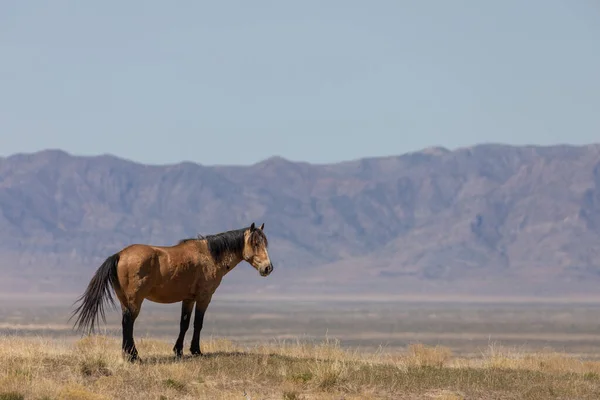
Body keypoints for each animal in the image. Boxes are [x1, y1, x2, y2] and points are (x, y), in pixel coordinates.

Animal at [70, 223, 274, 360]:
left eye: (265, 243)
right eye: (255, 243)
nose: (268, 268)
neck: (209, 256)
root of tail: (120, 255)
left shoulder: (188, 299)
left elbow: (184, 324)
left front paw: (179, 351)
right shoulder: (204, 298)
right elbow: (198, 324)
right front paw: (196, 350)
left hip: (124, 300)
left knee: (125, 323)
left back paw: (129, 354)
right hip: (135, 300)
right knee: (128, 323)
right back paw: (134, 356)